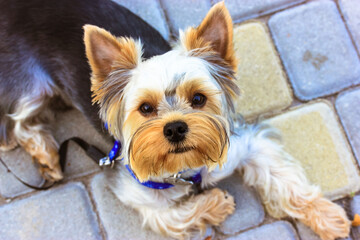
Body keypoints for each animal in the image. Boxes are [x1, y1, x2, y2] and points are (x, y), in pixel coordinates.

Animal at [0, 0, 350, 239]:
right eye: (144, 108)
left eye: (198, 99)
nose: (176, 127)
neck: (184, 168)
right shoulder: (132, 188)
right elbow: (170, 218)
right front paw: (217, 203)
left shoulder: (246, 145)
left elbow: (287, 183)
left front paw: (328, 216)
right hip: (26, 83)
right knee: (16, 122)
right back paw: (46, 155)